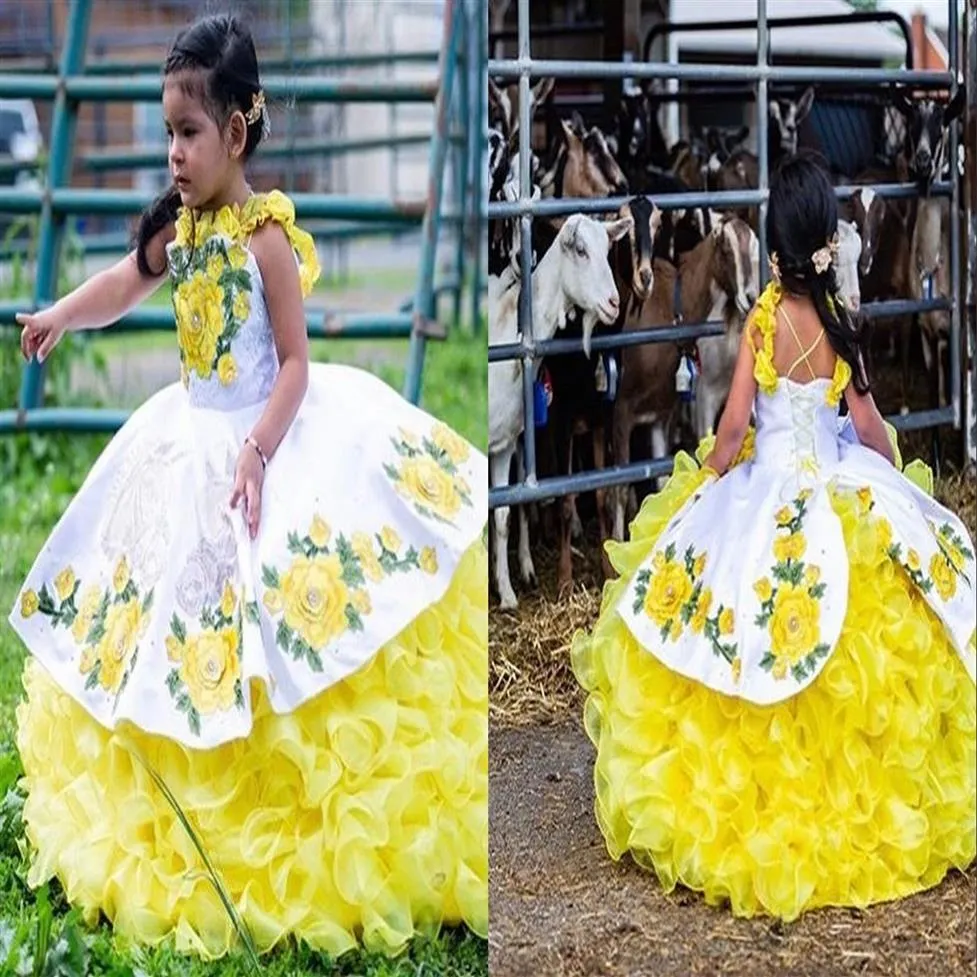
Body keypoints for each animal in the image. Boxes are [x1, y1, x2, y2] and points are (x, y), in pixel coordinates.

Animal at [488, 214, 632, 608]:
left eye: (608, 249)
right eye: (581, 250)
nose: (614, 302)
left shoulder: (504, 444)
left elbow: (502, 515)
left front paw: (506, 593)